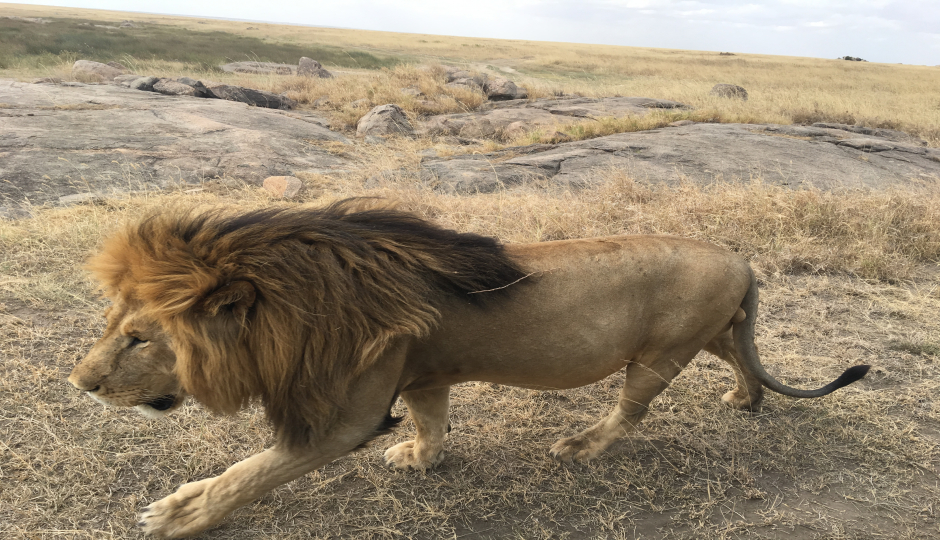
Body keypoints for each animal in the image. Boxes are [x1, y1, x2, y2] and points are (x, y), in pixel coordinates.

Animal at [70, 200, 872, 536]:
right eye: (114, 325)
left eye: (139, 339)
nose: (81, 383)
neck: (305, 302)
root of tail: (744, 260)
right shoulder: (423, 374)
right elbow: (433, 423)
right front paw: (421, 460)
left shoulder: (346, 417)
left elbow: (249, 471)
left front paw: (176, 514)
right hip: (710, 332)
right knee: (741, 353)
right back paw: (746, 400)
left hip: (659, 355)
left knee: (631, 409)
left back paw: (582, 445)